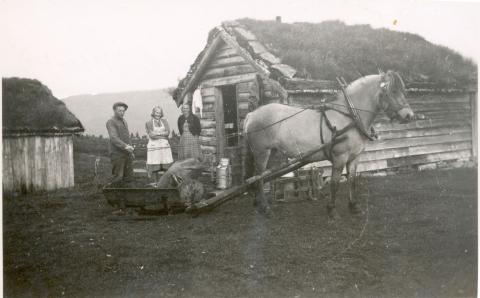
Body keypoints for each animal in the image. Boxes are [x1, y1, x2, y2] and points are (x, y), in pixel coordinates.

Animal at [246, 70, 414, 219]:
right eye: (392, 91)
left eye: (402, 91)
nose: (409, 116)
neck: (349, 116)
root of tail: (252, 115)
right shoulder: (340, 157)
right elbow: (334, 183)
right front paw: (332, 210)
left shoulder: (354, 157)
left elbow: (352, 180)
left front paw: (353, 206)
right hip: (262, 152)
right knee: (259, 177)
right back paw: (265, 208)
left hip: (271, 151)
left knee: (257, 176)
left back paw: (257, 202)